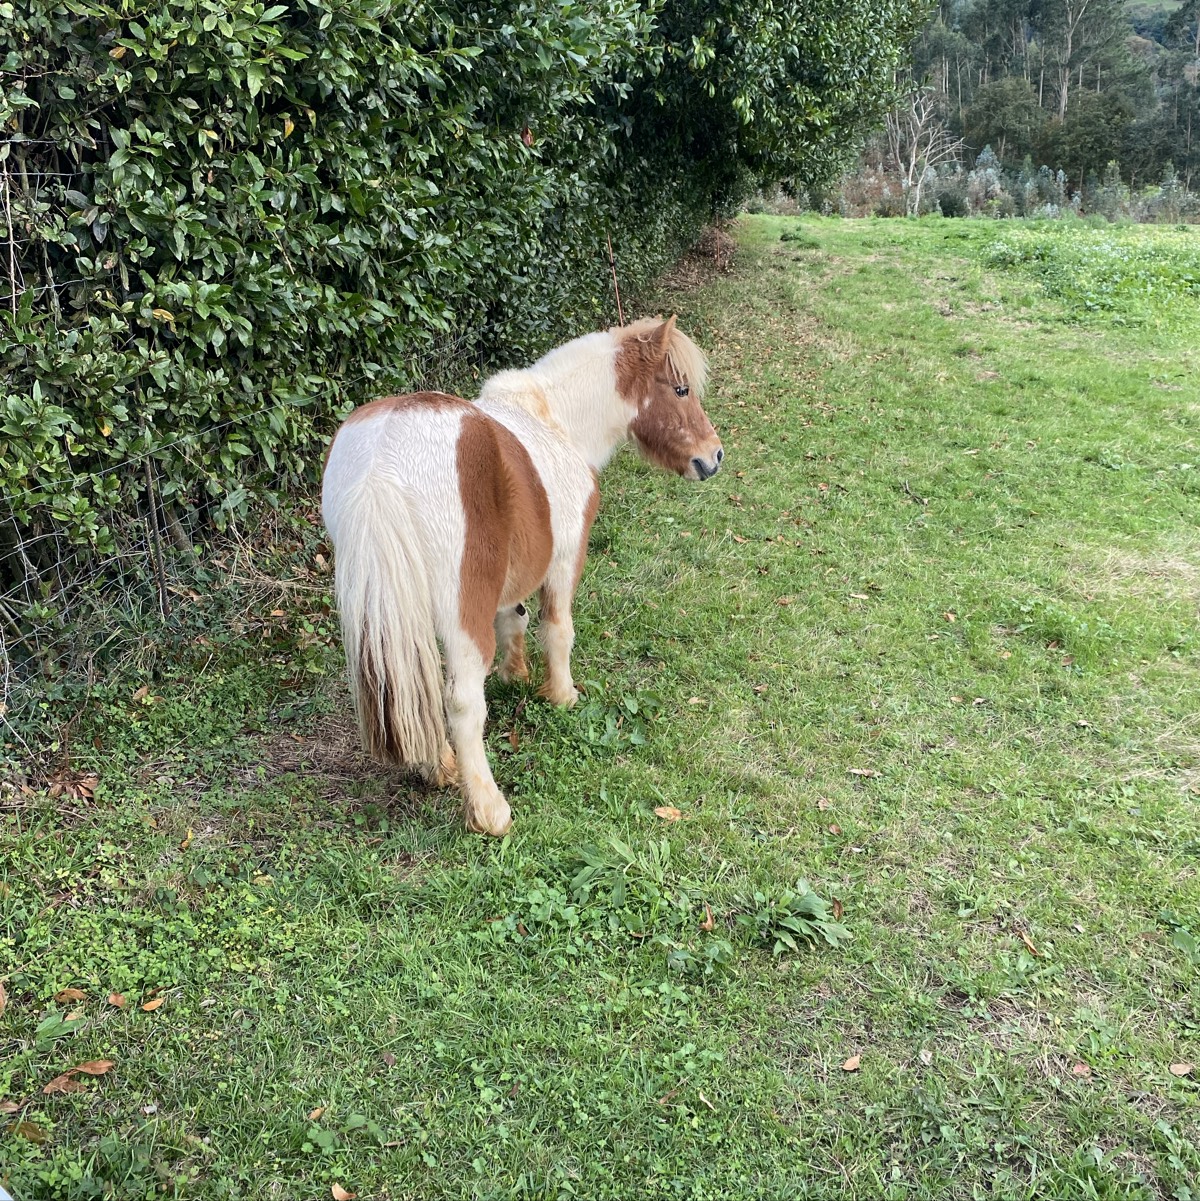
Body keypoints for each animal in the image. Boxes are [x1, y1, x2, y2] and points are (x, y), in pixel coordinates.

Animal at [321, 315, 723, 836]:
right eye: (680, 389)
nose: (713, 457)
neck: (556, 423)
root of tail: (382, 461)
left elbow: (514, 618)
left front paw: (516, 675)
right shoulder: (566, 558)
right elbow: (557, 630)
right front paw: (563, 695)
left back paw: (440, 767)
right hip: (460, 617)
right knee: (462, 703)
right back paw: (489, 810)